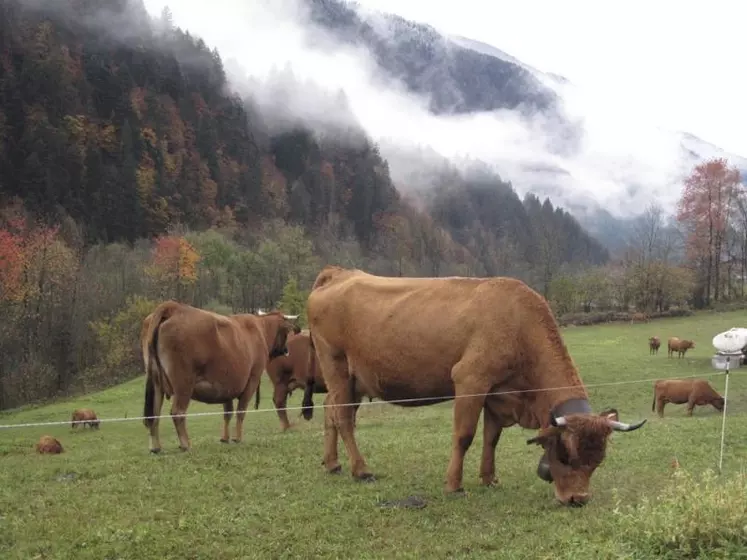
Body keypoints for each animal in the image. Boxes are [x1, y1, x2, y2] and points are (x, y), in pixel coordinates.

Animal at [142, 300, 300, 452]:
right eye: (286, 332)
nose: (286, 350)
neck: (260, 329)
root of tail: (173, 307)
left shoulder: (227, 386)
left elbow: (227, 412)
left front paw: (225, 438)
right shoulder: (252, 379)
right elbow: (241, 411)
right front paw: (237, 438)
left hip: (156, 383)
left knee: (153, 415)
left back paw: (155, 447)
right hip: (183, 384)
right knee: (177, 413)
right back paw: (185, 444)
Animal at [306, 266, 648, 508]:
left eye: (599, 460)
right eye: (565, 455)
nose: (578, 499)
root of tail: (339, 273)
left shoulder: (498, 394)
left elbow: (491, 438)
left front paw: (489, 478)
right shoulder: (470, 380)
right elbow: (465, 436)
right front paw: (454, 486)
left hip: (353, 380)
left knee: (330, 411)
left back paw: (333, 463)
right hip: (336, 366)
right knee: (343, 418)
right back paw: (361, 470)